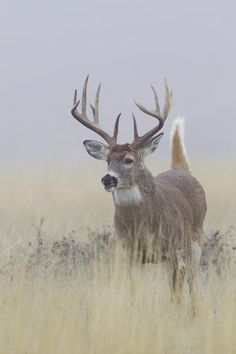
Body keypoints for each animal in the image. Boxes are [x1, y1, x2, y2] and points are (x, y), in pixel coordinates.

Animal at [70, 75, 206, 306]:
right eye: (107, 160)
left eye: (129, 160)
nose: (107, 179)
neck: (143, 225)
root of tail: (182, 169)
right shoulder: (129, 253)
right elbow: (134, 293)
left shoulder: (173, 248)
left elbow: (176, 293)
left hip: (194, 239)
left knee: (193, 286)